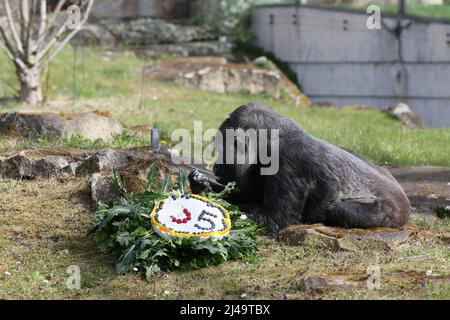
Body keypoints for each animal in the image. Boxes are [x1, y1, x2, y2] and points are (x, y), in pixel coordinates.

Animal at [190, 104, 412, 231]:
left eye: (222, 149)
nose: (216, 167)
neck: (271, 139)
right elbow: (247, 197)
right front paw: (200, 186)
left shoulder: (291, 160)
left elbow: (272, 219)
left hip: (393, 212)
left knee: (340, 211)